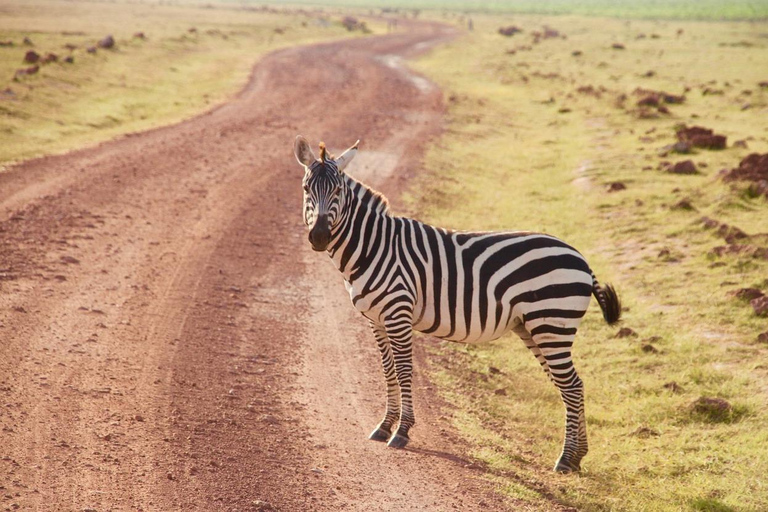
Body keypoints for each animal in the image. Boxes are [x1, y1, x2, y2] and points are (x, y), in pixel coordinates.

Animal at [292, 135, 620, 472]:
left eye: (338, 191)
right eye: (306, 189)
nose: (319, 237)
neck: (372, 247)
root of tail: (580, 258)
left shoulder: (398, 313)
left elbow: (404, 370)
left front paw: (402, 431)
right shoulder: (375, 320)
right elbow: (387, 371)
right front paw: (385, 425)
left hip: (552, 324)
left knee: (571, 385)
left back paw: (566, 459)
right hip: (535, 329)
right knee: (572, 385)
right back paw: (577, 456)